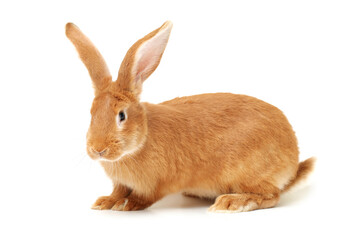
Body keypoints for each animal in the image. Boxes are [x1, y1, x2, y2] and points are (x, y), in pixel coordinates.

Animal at [66, 20, 314, 212]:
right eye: (91, 113)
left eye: (121, 116)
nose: (98, 149)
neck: (141, 140)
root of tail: (292, 162)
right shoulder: (120, 183)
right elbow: (117, 191)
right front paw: (105, 202)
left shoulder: (156, 184)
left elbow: (144, 197)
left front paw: (127, 204)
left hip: (248, 173)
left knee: (272, 196)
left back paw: (232, 203)